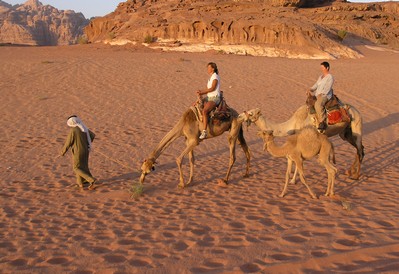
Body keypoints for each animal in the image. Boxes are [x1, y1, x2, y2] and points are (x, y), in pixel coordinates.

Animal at [239, 104, 368, 180]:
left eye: (250, 113)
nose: (240, 116)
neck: (294, 122)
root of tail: (357, 111)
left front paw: (293, 181)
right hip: (345, 133)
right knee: (359, 148)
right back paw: (349, 171)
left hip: (357, 125)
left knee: (360, 150)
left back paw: (356, 176)